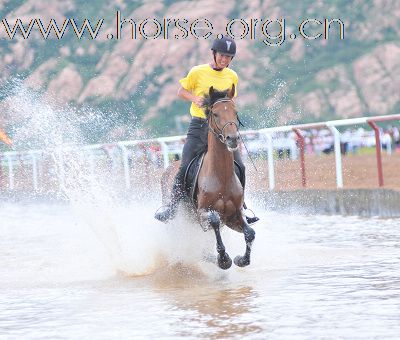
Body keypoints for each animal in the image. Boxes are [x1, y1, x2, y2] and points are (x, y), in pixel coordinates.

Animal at [161, 85, 255, 270]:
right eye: (216, 114)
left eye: (235, 112)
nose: (232, 139)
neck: (221, 178)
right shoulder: (202, 214)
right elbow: (214, 220)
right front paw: (224, 259)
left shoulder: (234, 216)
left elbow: (250, 233)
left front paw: (241, 259)